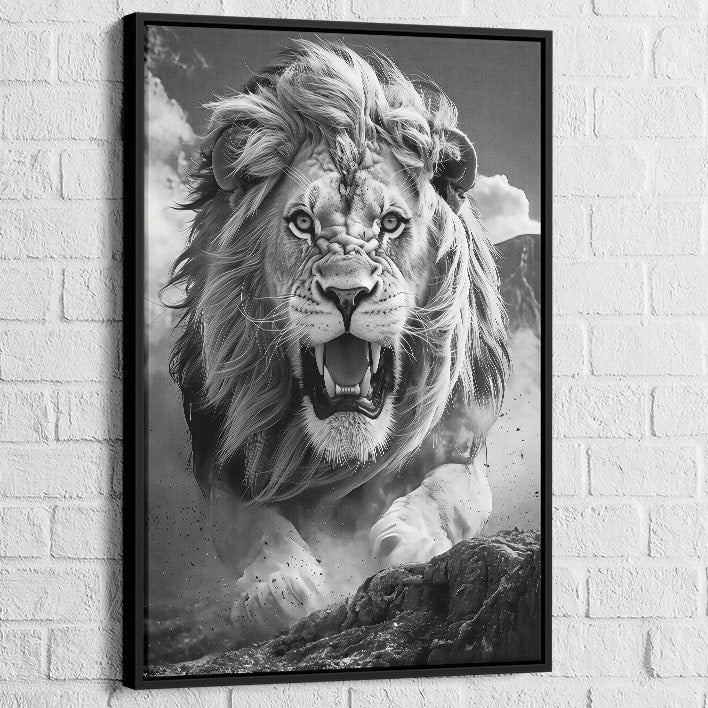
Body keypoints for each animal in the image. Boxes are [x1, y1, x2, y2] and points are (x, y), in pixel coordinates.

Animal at [168, 39, 509, 645]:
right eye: (302, 223)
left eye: (392, 223)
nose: (347, 293)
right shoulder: (221, 462)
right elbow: (252, 524)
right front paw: (276, 587)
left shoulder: (463, 446)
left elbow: (447, 492)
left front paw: (410, 542)